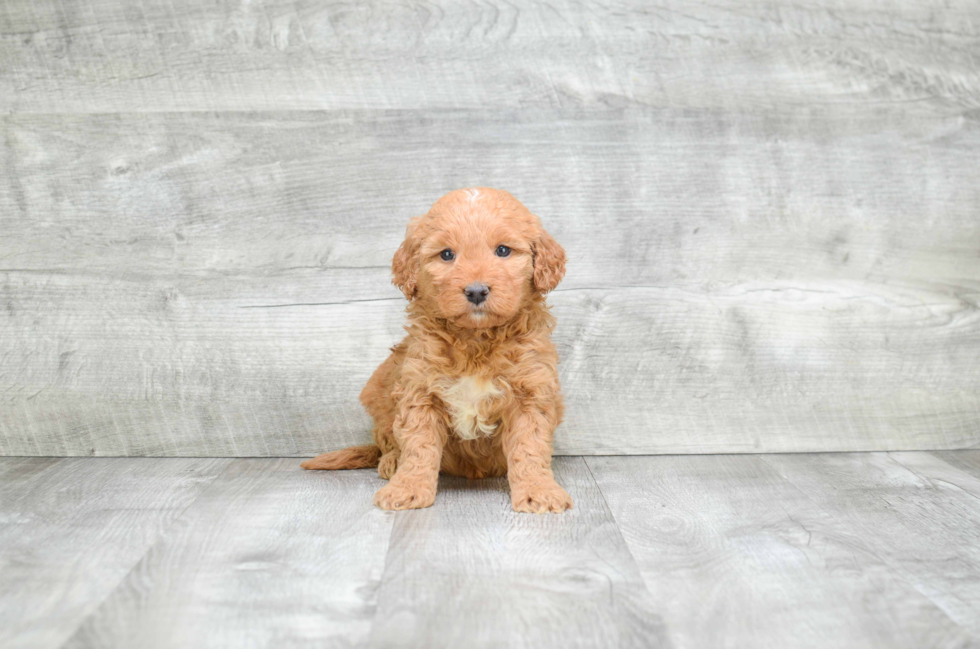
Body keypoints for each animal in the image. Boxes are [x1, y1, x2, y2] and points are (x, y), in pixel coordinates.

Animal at [302, 186, 572, 512]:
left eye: (503, 251)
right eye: (446, 254)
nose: (476, 290)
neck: (475, 340)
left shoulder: (530, 393)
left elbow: (529, 447)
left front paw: (539, 491)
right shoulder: (419, 391)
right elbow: (419, 447)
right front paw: (407, 489)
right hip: (379, 396)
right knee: (387, 443)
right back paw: (391, 462)